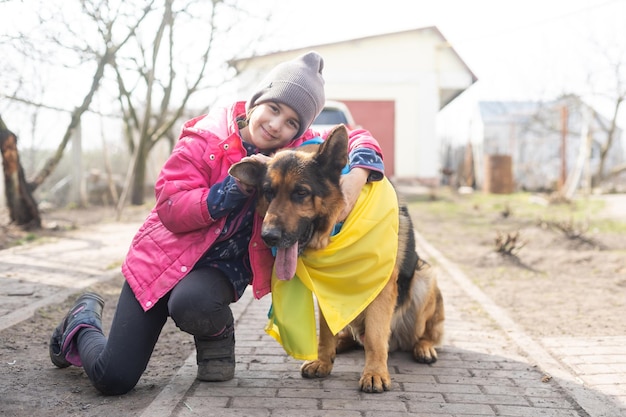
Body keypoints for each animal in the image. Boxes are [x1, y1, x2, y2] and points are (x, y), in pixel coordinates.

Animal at [229, 125, 444, 392]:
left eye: (301, 192)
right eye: (269, 192)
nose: (268, 236)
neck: (338, 226)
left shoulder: (381, 288)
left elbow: (375, 337)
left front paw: (374, 373)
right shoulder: (326, 291)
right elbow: (325, 333)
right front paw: (323, 361)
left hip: (426, 278)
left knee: (423, 334)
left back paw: (424, 348)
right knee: (348, 336)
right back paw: (340, 346)